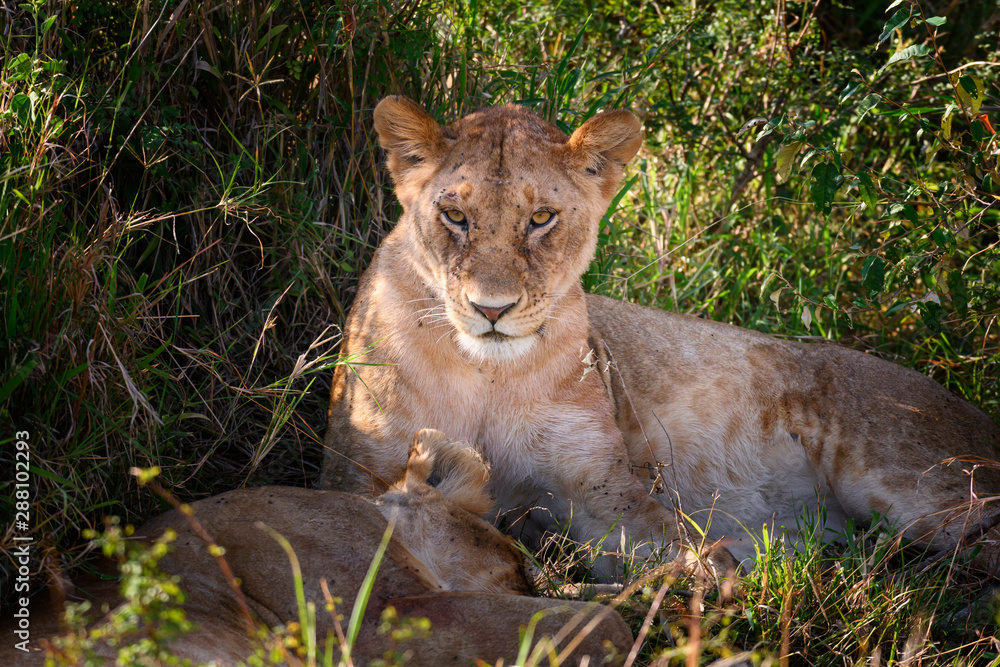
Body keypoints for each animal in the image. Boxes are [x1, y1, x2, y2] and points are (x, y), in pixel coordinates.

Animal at [320, 96, 1000, 578]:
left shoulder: (602, 482)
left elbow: (674, 545)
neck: (488, 373)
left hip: (918, 486)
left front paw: (711, 587)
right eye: (455, 216)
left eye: (540, 219)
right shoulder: (357, 475)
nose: (493, 309)